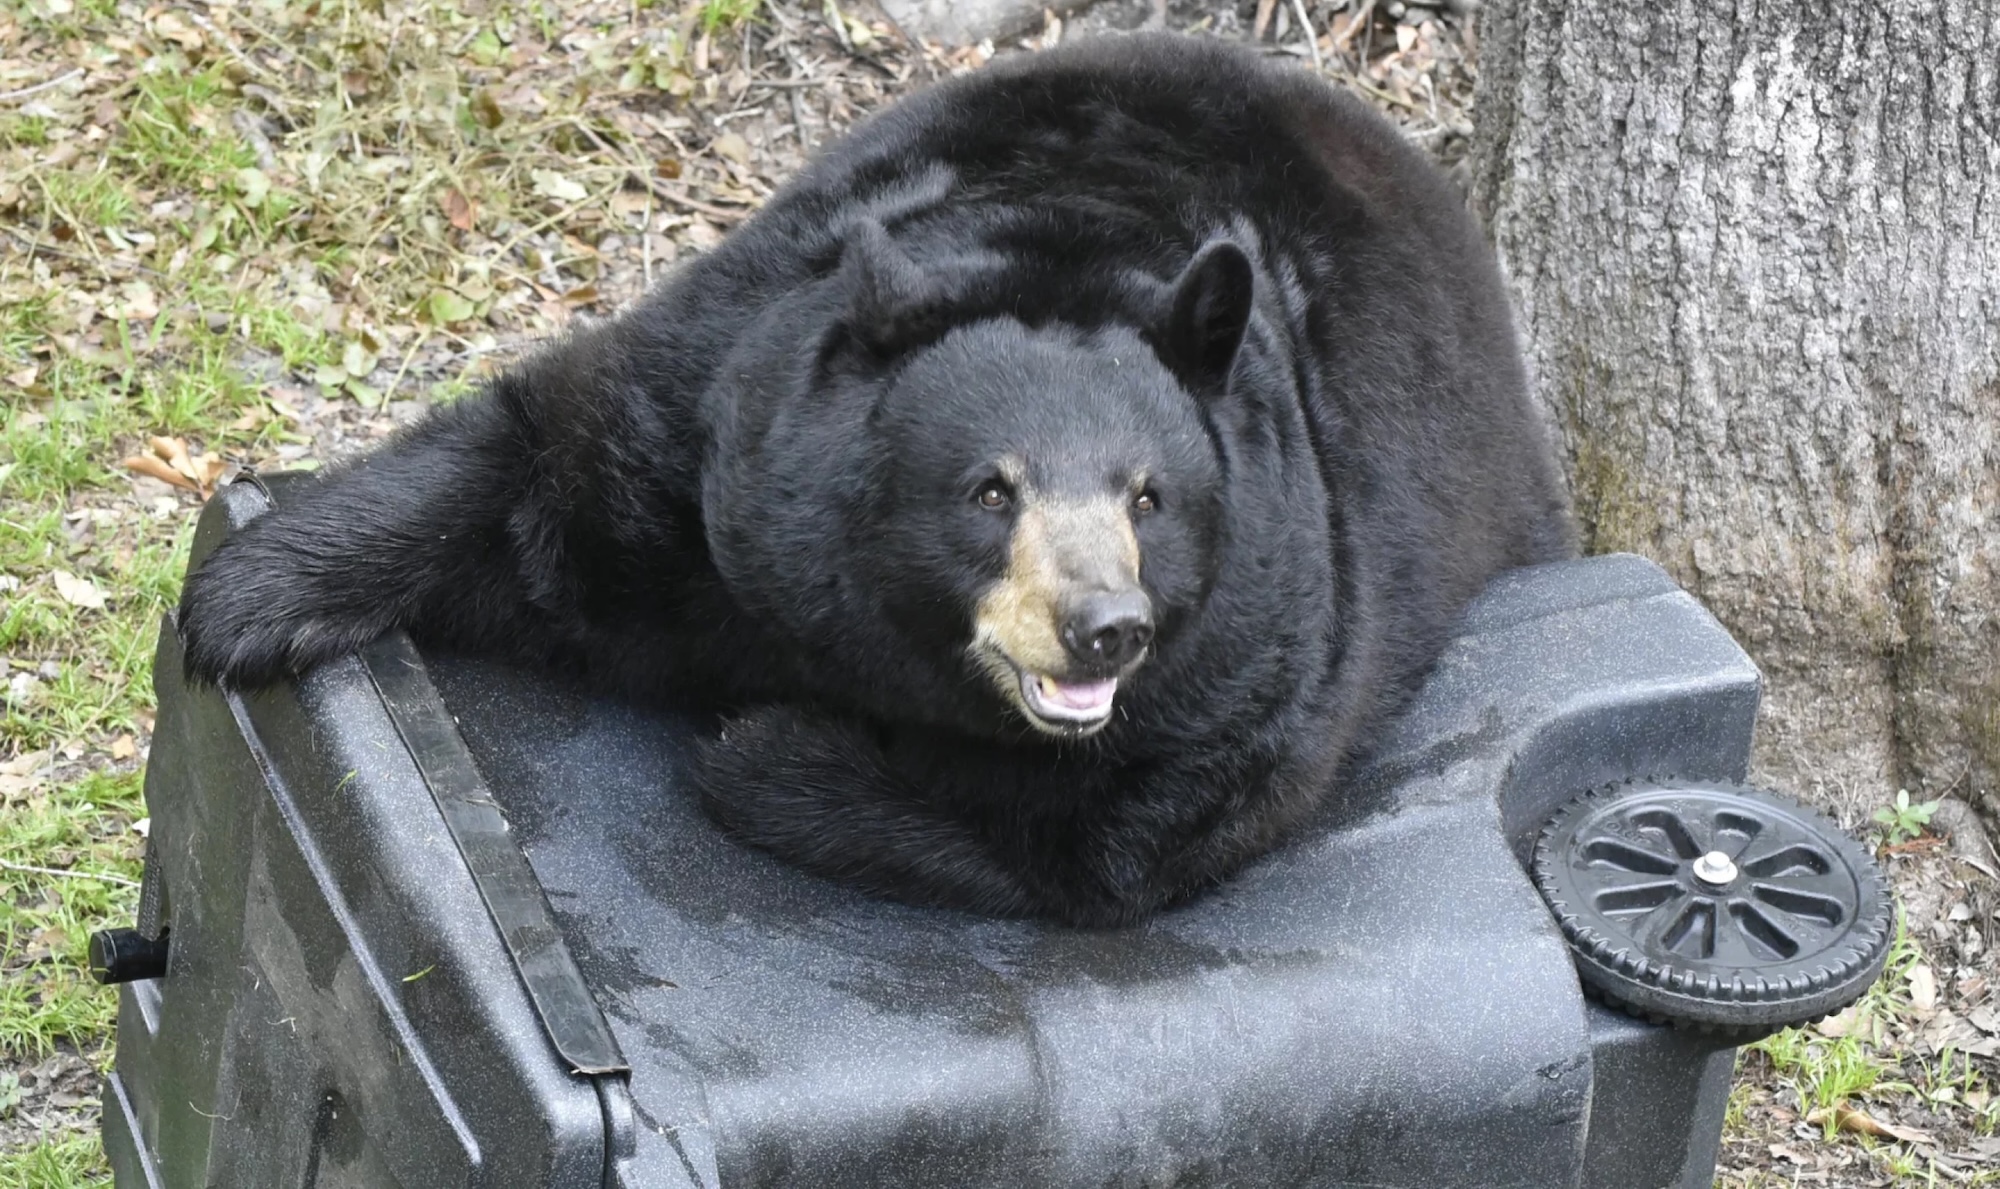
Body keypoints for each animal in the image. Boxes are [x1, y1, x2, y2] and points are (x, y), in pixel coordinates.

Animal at [176, 32, 1575, 927]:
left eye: (1149, 496)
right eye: (989, 490)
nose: (1103, 627)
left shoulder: (1276, 620)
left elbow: (1108, 842)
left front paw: (769, 745)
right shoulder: (715, 441)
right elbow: (545, 470)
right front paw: (244, 600)